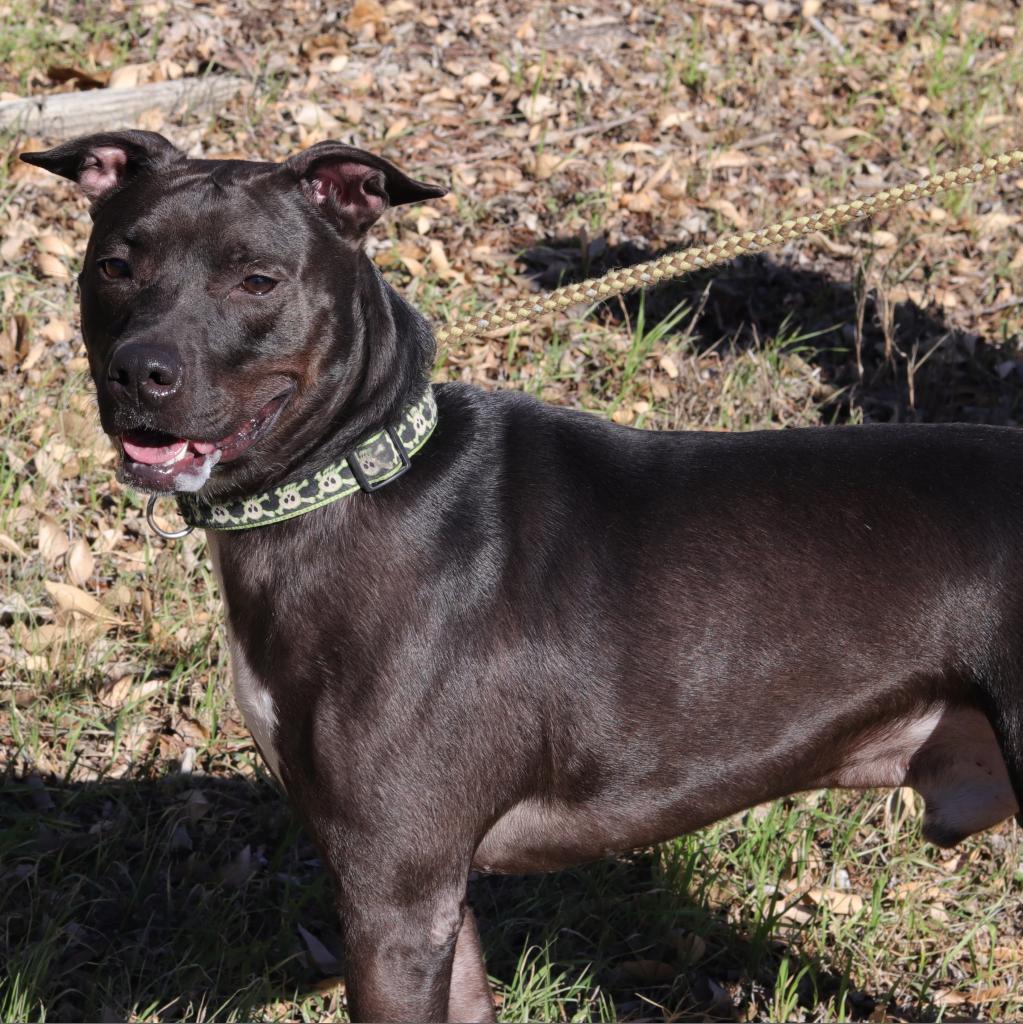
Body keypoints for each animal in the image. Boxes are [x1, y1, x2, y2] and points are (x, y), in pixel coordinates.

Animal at [22, 132, 1023, 1019]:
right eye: (114, 266)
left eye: (257, 279)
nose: (140, 372)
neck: (356, 475)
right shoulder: (432, 895)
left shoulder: (393, 897)